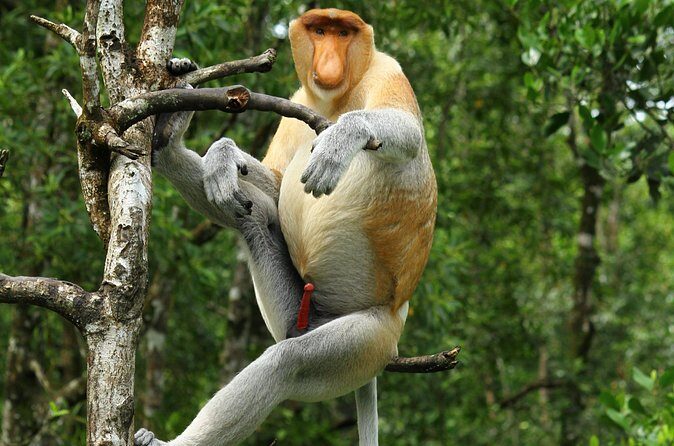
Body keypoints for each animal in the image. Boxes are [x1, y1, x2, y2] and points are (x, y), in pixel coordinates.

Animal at [135, 8, 436, 446]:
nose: (328, 60)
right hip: (296, 314)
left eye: (343, 33)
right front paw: (223, 155)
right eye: (320, 31)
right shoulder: (298, 101)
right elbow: (277, 187)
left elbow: (408, 133)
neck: (335, 98)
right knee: (254, 214)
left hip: (370, 341)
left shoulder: (386, 71)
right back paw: (169, 141)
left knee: (288, 362)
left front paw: (340, 139)